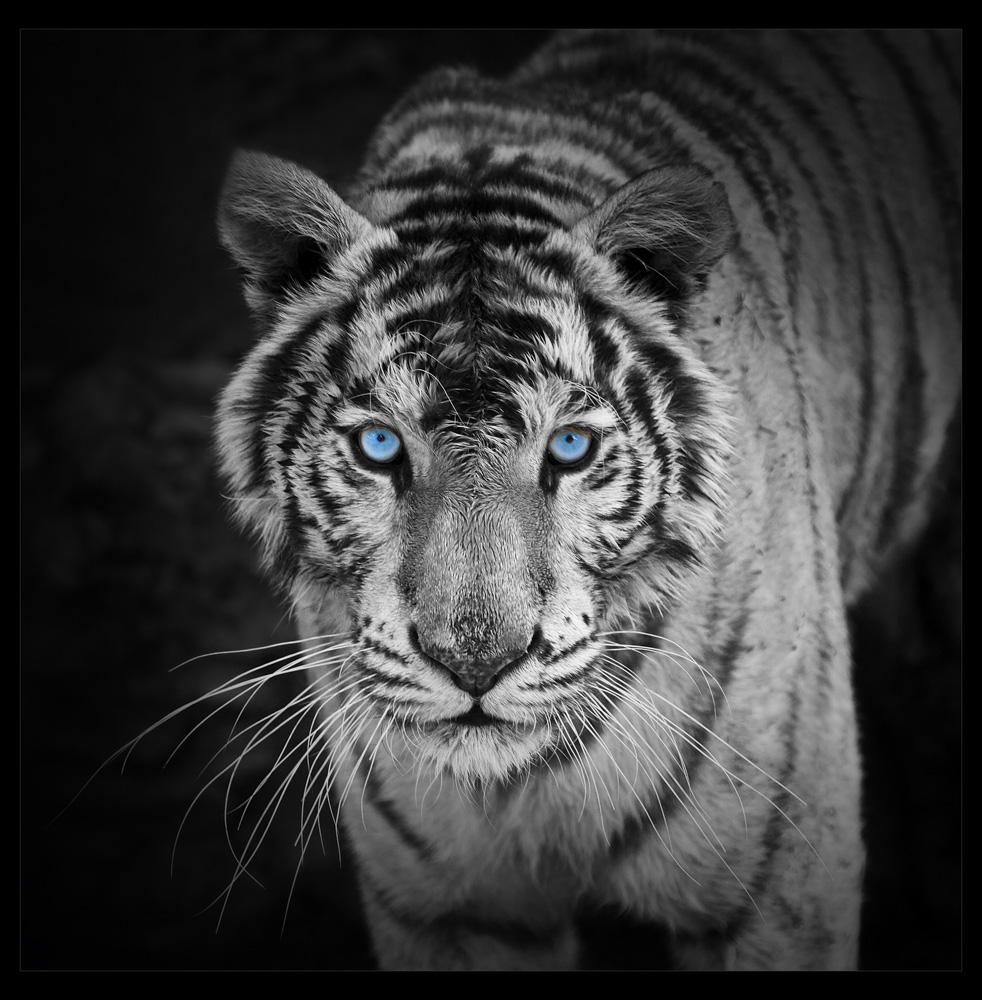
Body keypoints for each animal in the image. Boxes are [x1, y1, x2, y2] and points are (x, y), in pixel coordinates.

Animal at [210, 29, 960, 970]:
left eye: (569, 448)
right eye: (379, 445)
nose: (476, 664)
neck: (523, 787)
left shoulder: (776, 888)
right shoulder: (450, 909)